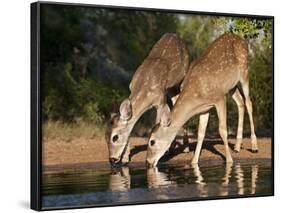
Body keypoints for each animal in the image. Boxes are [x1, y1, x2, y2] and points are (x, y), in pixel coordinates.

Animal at [105, 32, 188, 166]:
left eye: (115, 137)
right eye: (105, 136)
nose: (112, 159)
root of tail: (175, 35)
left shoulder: (160, 101)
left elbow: (156, 125)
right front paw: (125, 158)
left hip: (179, 80)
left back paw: (184, 147)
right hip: (170, 89)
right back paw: (174, 147)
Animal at [145, 32, 258, 166]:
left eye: (152, 141)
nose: (148, 162)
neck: (195, 95)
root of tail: (242, 40)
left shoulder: (219, 98)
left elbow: (222, 130)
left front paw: (229, 161)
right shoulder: (205, 108)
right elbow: (200, 133)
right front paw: (194, 162)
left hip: (244, 70)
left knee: (249, 102)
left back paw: (254, 146)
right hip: (231, 86)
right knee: (240, 102)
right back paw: (237, 147)